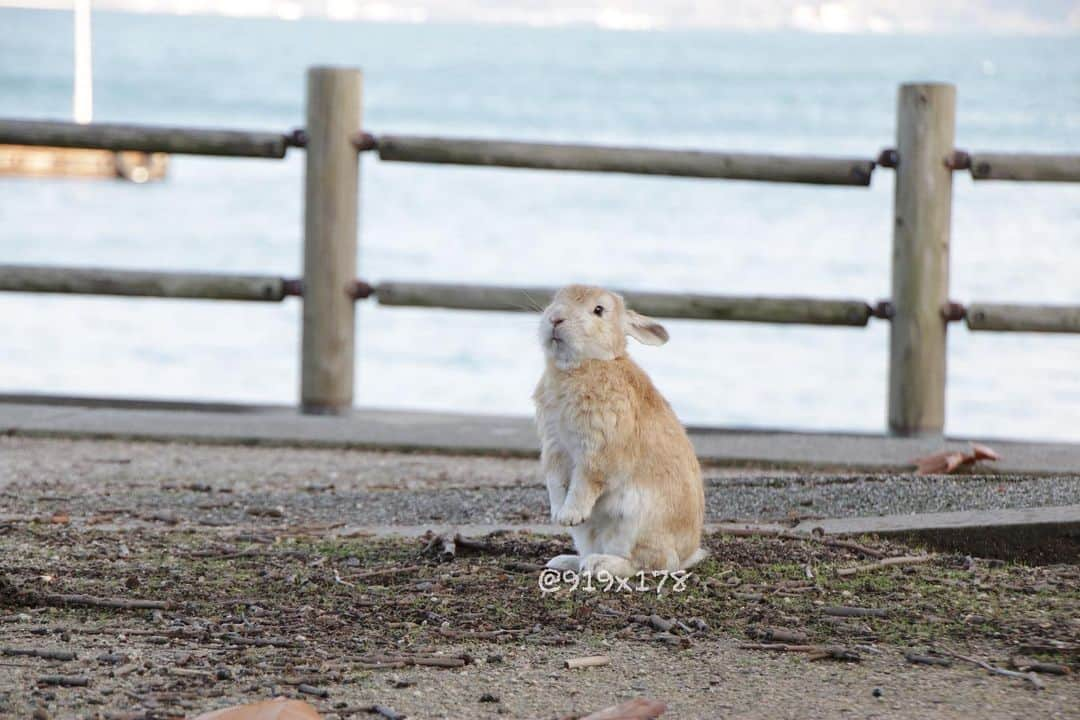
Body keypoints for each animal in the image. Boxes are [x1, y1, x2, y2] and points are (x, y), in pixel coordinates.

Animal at [533, 284, 708, 578]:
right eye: (556, 299)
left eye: (598, 310)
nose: (555, 318)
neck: (587, 364)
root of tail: (687, 553)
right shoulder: (554, 446)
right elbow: (555, 483)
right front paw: (558, 515)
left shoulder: (599, 449)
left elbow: (585, 482)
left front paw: (569, 515)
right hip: (590, 534)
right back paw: (566, 561)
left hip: (635, 523)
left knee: (651, 564)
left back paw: (599, 564)